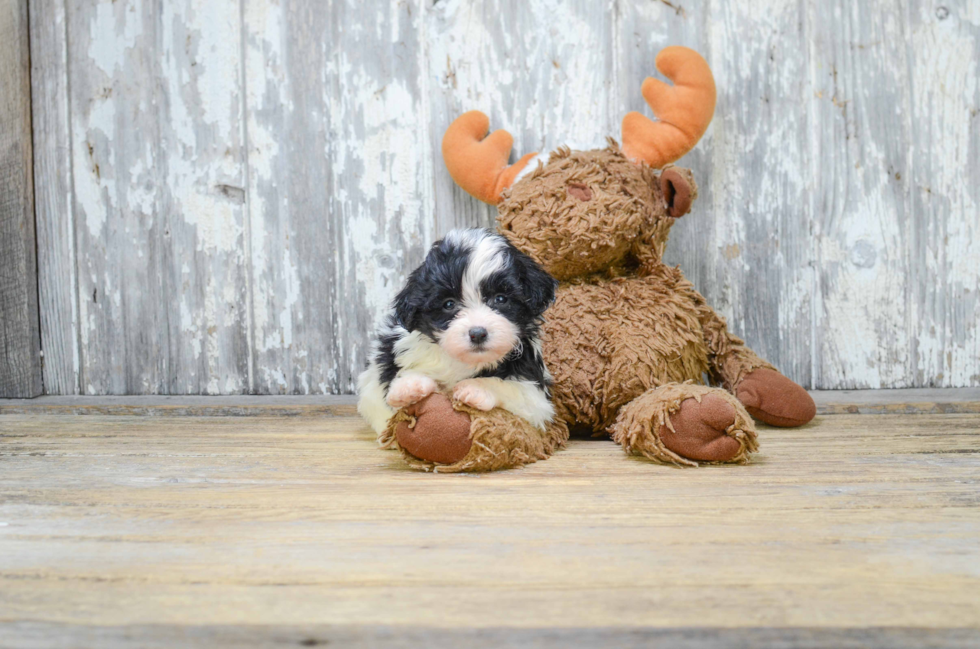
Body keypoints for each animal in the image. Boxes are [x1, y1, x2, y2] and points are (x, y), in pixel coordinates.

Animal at [360, 228, 560, 436]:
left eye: (501, 299)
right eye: (449, 304)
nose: (478, 333)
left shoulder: (537, 398)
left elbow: (516, 390)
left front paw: (477, 388)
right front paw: (409, 386)